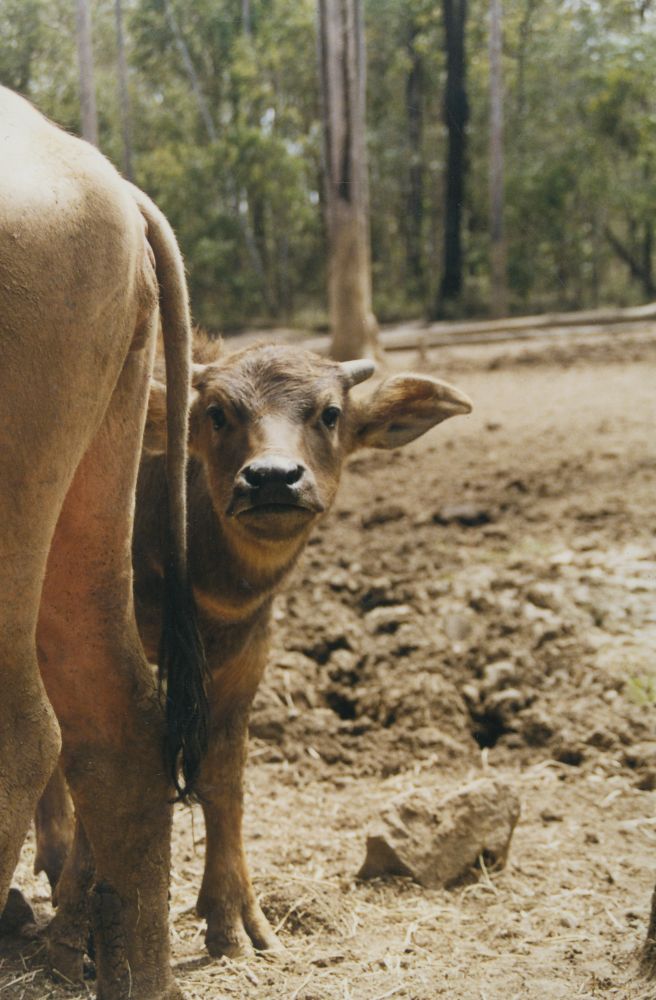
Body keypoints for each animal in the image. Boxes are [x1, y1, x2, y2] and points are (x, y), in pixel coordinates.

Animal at [36, 334, 472, 969]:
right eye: (219, 414)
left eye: (329, 414)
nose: (271, 478)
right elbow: (96, 762)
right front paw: (77, 926)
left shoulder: (246, 655)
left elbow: (225, 778)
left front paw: (232, 919)